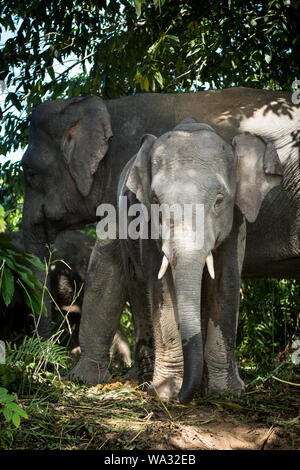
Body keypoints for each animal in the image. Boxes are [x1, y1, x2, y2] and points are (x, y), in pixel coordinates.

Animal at [69, 118, 282, 404]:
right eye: (155, 200)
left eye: (219, 201)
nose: (184, 397)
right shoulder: (146, 225)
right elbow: (160, 288)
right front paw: (166, 392)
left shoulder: (236, 221)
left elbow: (225, 284)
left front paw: (225, 392)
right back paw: (103, 379)